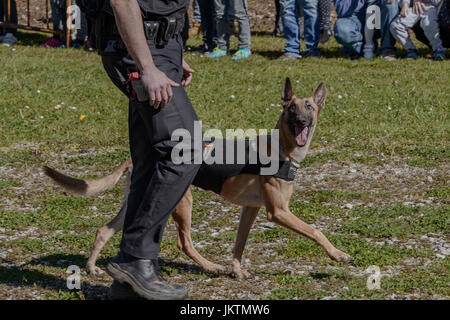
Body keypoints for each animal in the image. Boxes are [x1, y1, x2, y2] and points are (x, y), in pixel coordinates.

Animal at [43, 79, 352, 278]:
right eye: (291, 108)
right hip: (182, 201)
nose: (301, 122)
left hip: (137, 200)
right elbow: (316, 231)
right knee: (184, 243)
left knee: (104, 230)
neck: (281, 149)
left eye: (310, 107)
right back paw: (209, 266)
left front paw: (237, 270)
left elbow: (239, 244)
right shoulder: (277, 212)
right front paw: (337, 254)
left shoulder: (250, 209)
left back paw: (92, 267)